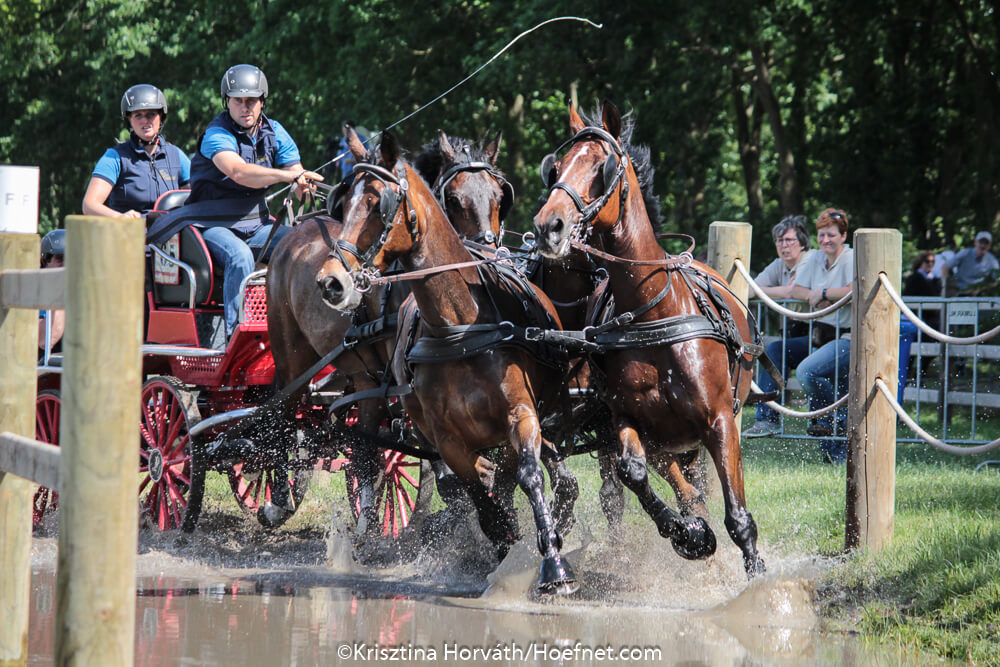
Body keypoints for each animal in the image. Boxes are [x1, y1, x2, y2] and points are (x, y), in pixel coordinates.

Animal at [317, 127, 579, 594]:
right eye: (343, 205)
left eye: (378, 204)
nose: (332, 281)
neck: (460, 324)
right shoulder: (446, 439)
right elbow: (478, 494)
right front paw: (501, 545)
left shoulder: (521, 415)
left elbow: (527, 475)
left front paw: (552, 566)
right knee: (370, 456)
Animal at [533, 101, 766, 578]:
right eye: (556, 168)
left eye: (602, 168)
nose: (549, 226)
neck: (654, 314)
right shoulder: (629, 422)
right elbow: (632, 474)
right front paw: (689, 536)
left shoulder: (720, 421)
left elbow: (738, 517)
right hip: (669, 443)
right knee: (685, 491)